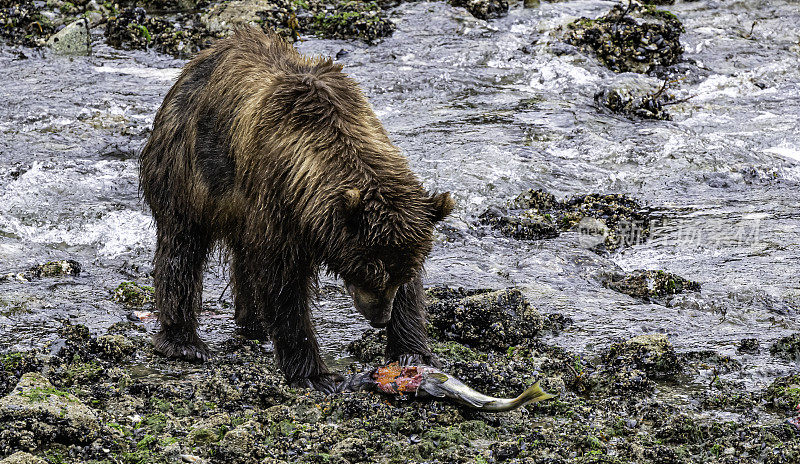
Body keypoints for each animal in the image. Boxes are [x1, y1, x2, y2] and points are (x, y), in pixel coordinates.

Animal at [140, 27, 454, 394]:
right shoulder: (277, 203)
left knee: (242, 258)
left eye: (396, 274)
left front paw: (411, 352)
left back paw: (253, 325)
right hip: (187, 167)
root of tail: (197, 60)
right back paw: (185, 343)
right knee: (182, 247)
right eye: (369, 270)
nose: (380, 318)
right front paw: (317, 375)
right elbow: (283, 284)